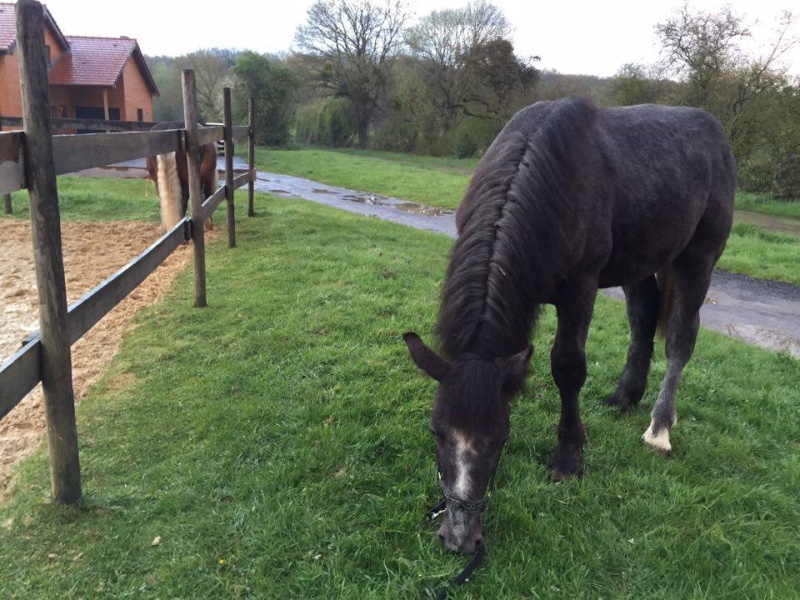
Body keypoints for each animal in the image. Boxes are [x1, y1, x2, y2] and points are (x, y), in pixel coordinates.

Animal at [406, 95, 736, 552]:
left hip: (698, 258)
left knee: (681, 339)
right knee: (643, 317)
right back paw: (625, 396)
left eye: (501, 437)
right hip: (639, 260)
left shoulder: (581, 289)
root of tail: (715, 132)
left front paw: (568, 456)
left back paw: (659, 427)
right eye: (437, 431)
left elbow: (568, 368)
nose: (459, 538)